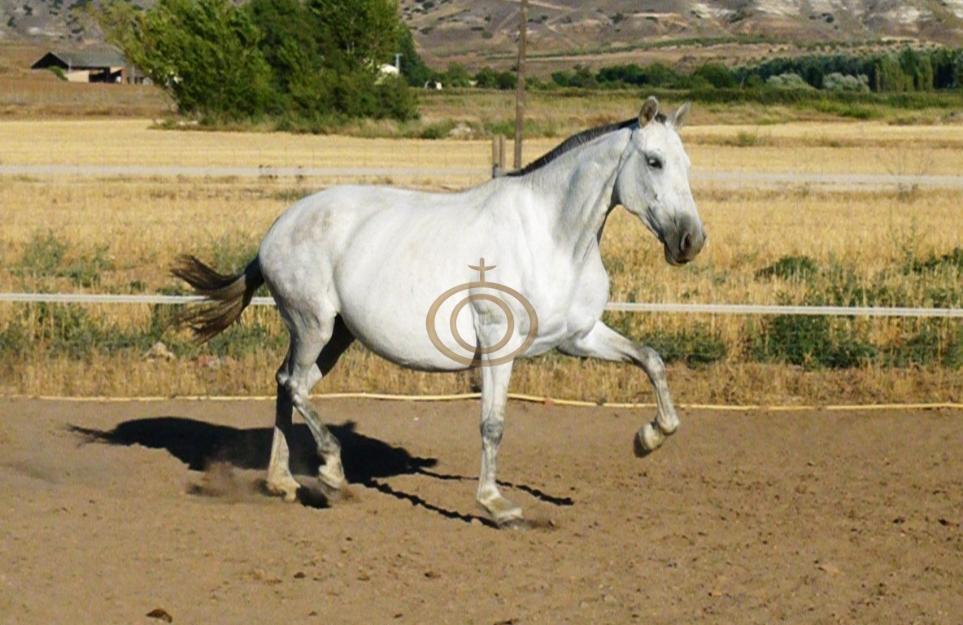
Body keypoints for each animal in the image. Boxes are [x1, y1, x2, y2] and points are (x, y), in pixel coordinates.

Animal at [177, 96, 708, 528]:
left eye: (687, 162)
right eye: (655, 161)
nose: (690, 241)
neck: (552, 236)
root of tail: (276, 230)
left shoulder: (579, 336)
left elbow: (651, 360)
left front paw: (648, 438)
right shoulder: (498, 344)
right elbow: (493, 425)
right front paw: (498, 506)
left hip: (335, 335)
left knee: (289, 384)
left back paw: (284, 482)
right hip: (313, 325)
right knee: (293, 385)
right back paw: (331, 470)